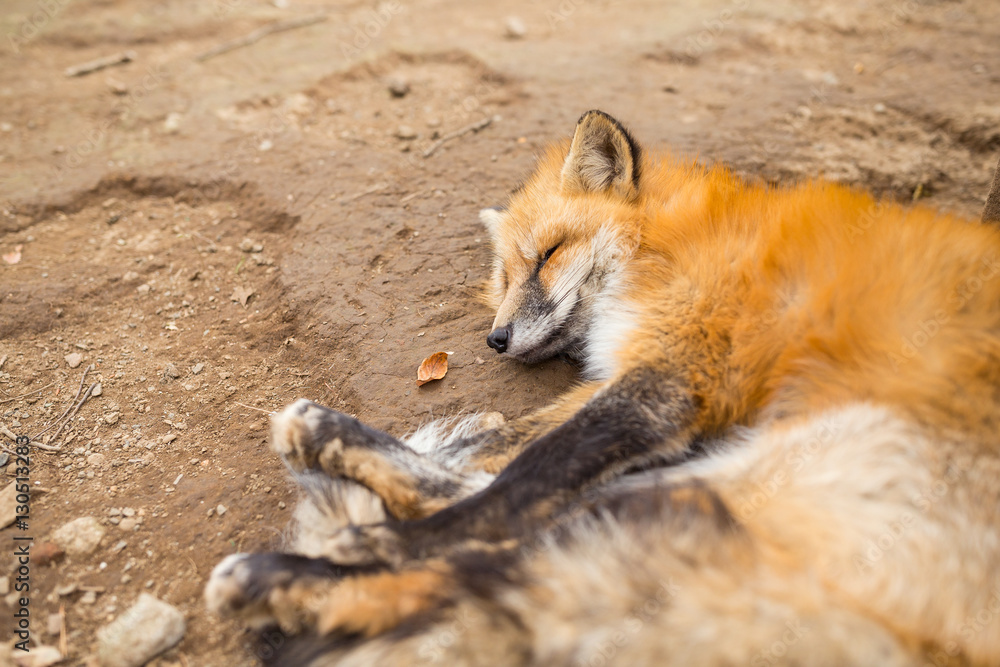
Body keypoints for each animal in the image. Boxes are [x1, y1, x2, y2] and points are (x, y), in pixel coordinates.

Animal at [206, 110, 1000, 666]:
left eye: (548, 256)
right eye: (502, 277)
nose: (495, 339)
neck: (665, 243)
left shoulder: (677, 372)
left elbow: (525, 472)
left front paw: (373, 522)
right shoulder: (638, 369)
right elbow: (506, 443)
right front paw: (337, 440)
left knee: (499, 537)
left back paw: (316, 563)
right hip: (718, 490)